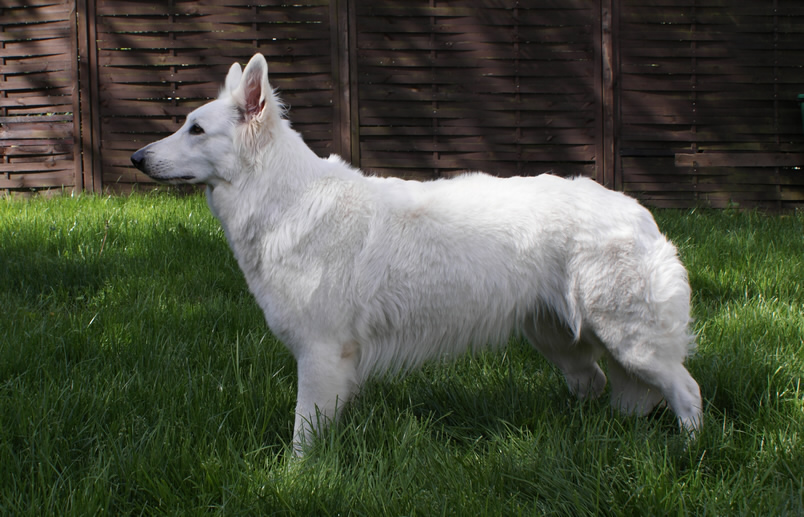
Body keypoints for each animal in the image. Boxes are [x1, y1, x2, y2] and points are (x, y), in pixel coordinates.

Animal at [132, 53, 703, 454]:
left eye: (196, 129)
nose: (136, 157)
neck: (284, 198)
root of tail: (638, 212)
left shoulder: (320, 353)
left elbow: (302, 435)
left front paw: (295, 478)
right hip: (560, 341)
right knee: (601, 384)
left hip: (631, 342)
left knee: (687, 391)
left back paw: (692, 452)